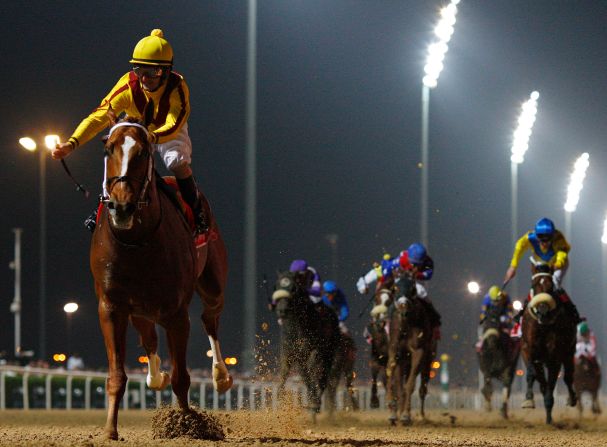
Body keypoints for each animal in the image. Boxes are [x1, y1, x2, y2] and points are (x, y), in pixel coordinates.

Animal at [90, 109, 233, 440]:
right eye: (108, 148)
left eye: (143, 152)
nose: (122, 206)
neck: (137, 241)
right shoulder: (111, 306)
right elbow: (116, 375)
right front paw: (110, 430)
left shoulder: (177, 312)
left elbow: (182, 377)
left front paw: (188, 425)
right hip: (140, 309)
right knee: (149, 336)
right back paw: (156, 376)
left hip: (212, 283)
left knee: (210, 318)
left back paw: (221, 376)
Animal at [272, 272, 342, 422]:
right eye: (277, 286)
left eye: (293, 288)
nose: (281, 310)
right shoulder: (290, 353)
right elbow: (290, 373)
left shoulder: (313, 350)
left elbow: (312, 373)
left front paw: (314, 404)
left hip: (329, 351)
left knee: (323, 376)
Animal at [520, 260, 576, 424]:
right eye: (534, 284)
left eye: (551, 286)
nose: (543, 310)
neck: (542, 325)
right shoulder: (527, 349)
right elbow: (531, 374)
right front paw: (528, 400)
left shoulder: (555, 357)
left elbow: (552, 383)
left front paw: (549, 417)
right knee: (542, 381)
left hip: (569, 351)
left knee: (568, 376)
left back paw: (571, 399)